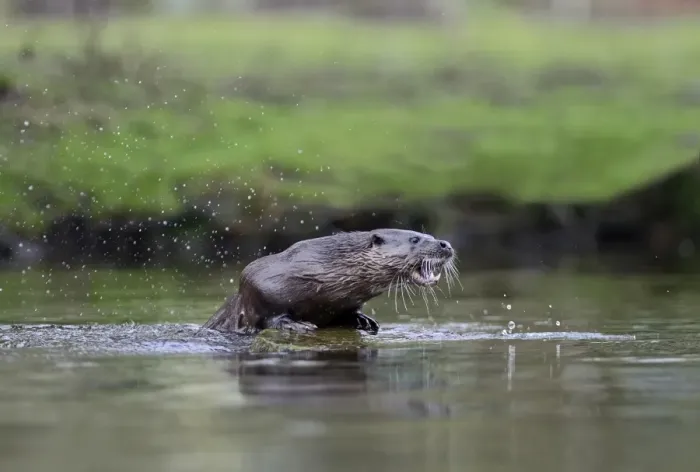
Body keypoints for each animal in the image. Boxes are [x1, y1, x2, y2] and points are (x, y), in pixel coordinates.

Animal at [202, 228, 457, 336]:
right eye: (415, 239)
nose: (445, 244)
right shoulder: (260, 279)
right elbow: (266, 314)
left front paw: (363, 320)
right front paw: (294, 325)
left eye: (431, 236)